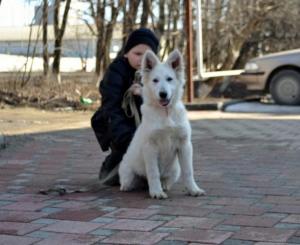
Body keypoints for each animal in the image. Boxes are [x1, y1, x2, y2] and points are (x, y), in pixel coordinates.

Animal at [118, 49, 205, 199]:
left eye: (169, 79)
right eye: (155, 80)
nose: (163, 94)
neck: (166, 114)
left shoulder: (185, 145)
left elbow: (188, 171)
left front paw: (193, 189)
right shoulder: (150, 147)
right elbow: (153, 173)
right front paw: (156, 192)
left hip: (175, 171)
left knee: (166, 179)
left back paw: (164, 186)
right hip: (128, 172)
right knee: (130, 181)